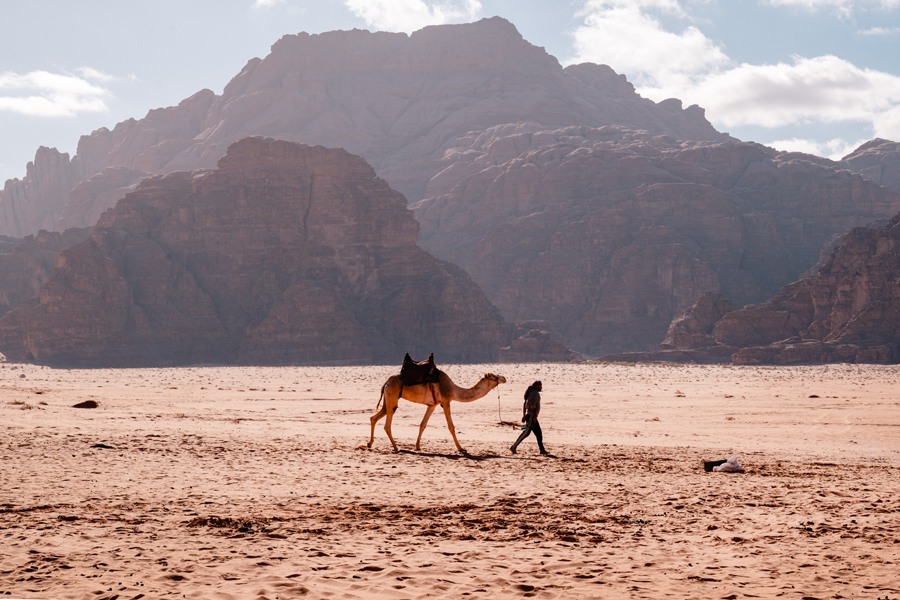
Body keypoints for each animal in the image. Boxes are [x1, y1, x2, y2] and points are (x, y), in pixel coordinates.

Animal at [368, 370, 506, 454]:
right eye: (494, 377)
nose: (504, 378)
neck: (453, 390)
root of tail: (386, 383)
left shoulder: (432, 405)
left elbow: (423, 424)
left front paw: (418, 446)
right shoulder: (446, 401)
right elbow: (451, 426)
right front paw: (461, 449)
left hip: (388, 399)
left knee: (374, 417)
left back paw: (370, 444)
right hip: (392, 396)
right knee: (387, 424)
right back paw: (396, 447)